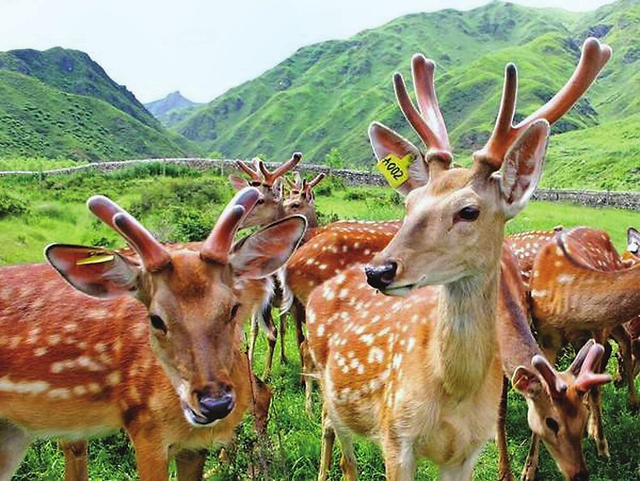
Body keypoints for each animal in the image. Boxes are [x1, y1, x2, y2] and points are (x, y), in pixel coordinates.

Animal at [0, 187, 307, 480]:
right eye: (156, 319)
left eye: (232, 308)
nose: (215, 403)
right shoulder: (148, 428)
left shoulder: (164, 431)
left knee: (261, 390)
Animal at [304, 37, 610, 480]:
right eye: (409, 202)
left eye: (469, 210)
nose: (378, 270)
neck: (453, 391)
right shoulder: (395, 435)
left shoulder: (467, 450)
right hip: (331, 387)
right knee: (341, 449)